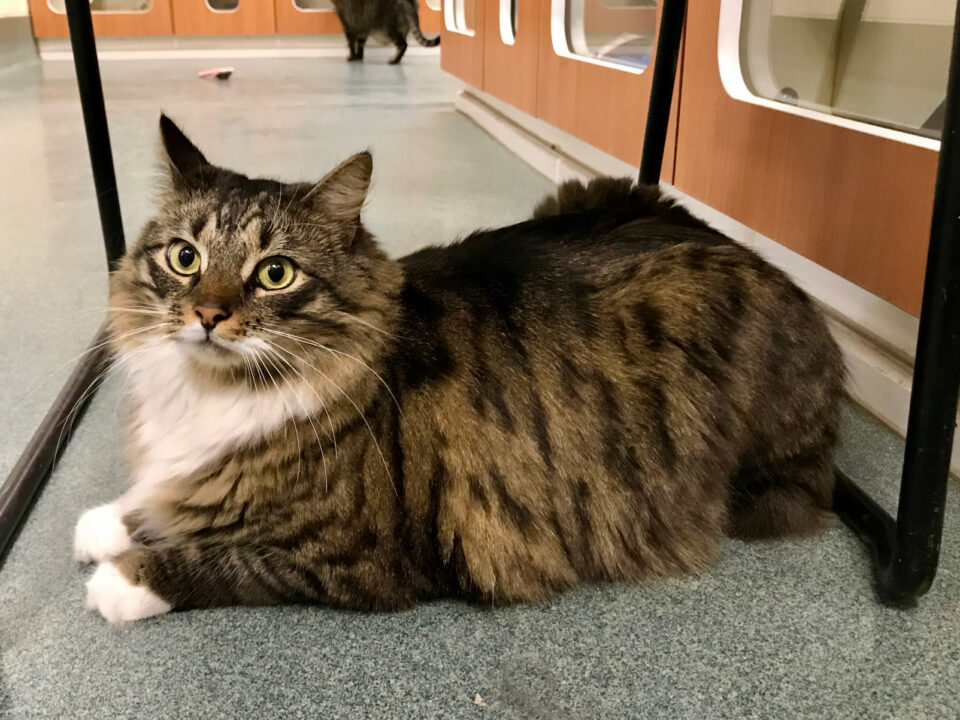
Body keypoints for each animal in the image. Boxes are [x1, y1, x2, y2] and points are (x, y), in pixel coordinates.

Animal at [74, 115, 844, 623]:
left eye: (274, 274)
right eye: (185, 258)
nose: (207, 315)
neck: (209, 392)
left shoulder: (356, 557)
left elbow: (221, 557)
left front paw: (123, 581)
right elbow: (161, 497)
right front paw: (108, 521)